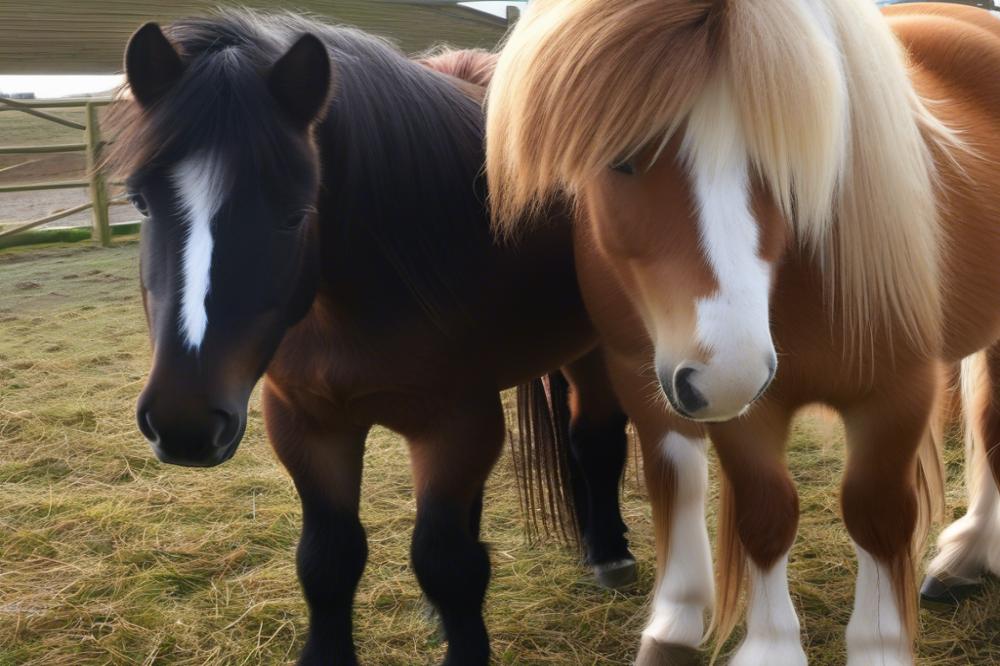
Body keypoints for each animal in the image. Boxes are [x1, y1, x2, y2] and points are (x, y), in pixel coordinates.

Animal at [107, 11, 640, 664]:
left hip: (594, 351)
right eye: (140, 201)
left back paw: (608, 551)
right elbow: (327, 561)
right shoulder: (308, 424)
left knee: (593, 439)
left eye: (296, 212)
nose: (182, 423)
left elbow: (447, 564)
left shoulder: (455, 423)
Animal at [488, 0, 1000, 660]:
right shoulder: (736, 408)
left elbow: (875, 517)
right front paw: (768, 645)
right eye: (618, 152)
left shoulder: (897, 394)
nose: (727, 372)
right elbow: (763, 513)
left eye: (789, 148)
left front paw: (879, 646)